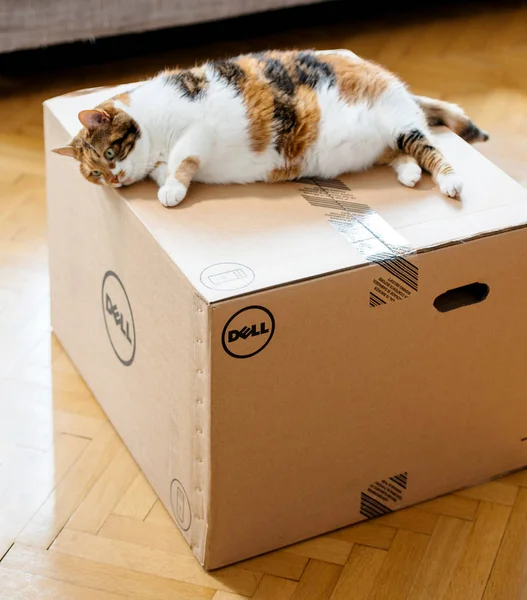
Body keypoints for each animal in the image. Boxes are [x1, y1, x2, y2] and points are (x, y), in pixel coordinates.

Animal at [53, 48, 490, 206]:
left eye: (110, 152)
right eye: (95, 173)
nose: (113, 179)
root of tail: (389, 78)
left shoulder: (195, 129)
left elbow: (184, 158)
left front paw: (172, 190)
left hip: (399, 122)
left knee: (431, 149)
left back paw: (450, 182)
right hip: (384, 141)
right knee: (403, 154)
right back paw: (408, 174)